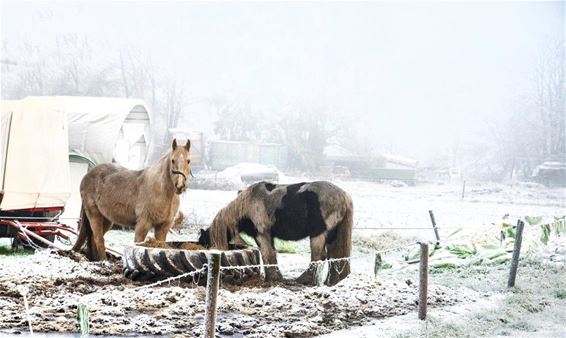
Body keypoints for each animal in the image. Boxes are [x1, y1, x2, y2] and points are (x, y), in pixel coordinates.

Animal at [197, 181, 352, 286]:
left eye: (206, 243)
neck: (249, 203)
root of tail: (344, 195)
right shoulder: (268, 236)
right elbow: (271, 255)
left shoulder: (262, 235)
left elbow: (267, 255)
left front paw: (272, 278)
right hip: (332, 236)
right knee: (334, 257)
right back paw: (330, 281)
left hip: (318, 234)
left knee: (319, 256)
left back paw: (305, 280)